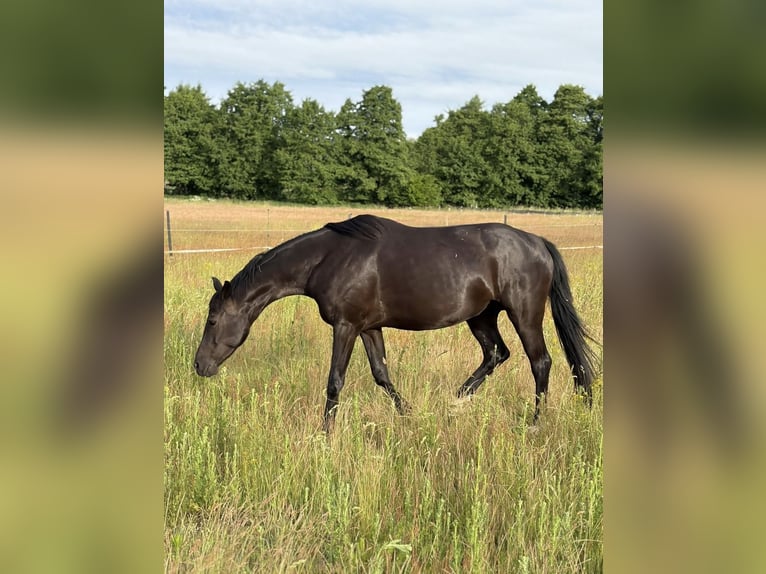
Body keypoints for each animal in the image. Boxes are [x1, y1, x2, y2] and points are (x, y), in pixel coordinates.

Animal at [194, 214, 598, 431]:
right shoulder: (369, 327)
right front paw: (410, 415)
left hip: (523, 313)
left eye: (212, 320)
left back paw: (535, 423)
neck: (328, 258)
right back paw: (456, 402)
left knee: (539, 362)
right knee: (496, 354)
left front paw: (325, 432)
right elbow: (381, 375)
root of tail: (538, 242)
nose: (199, 365)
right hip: (482, 316)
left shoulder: (346, 326)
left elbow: (335, 381)